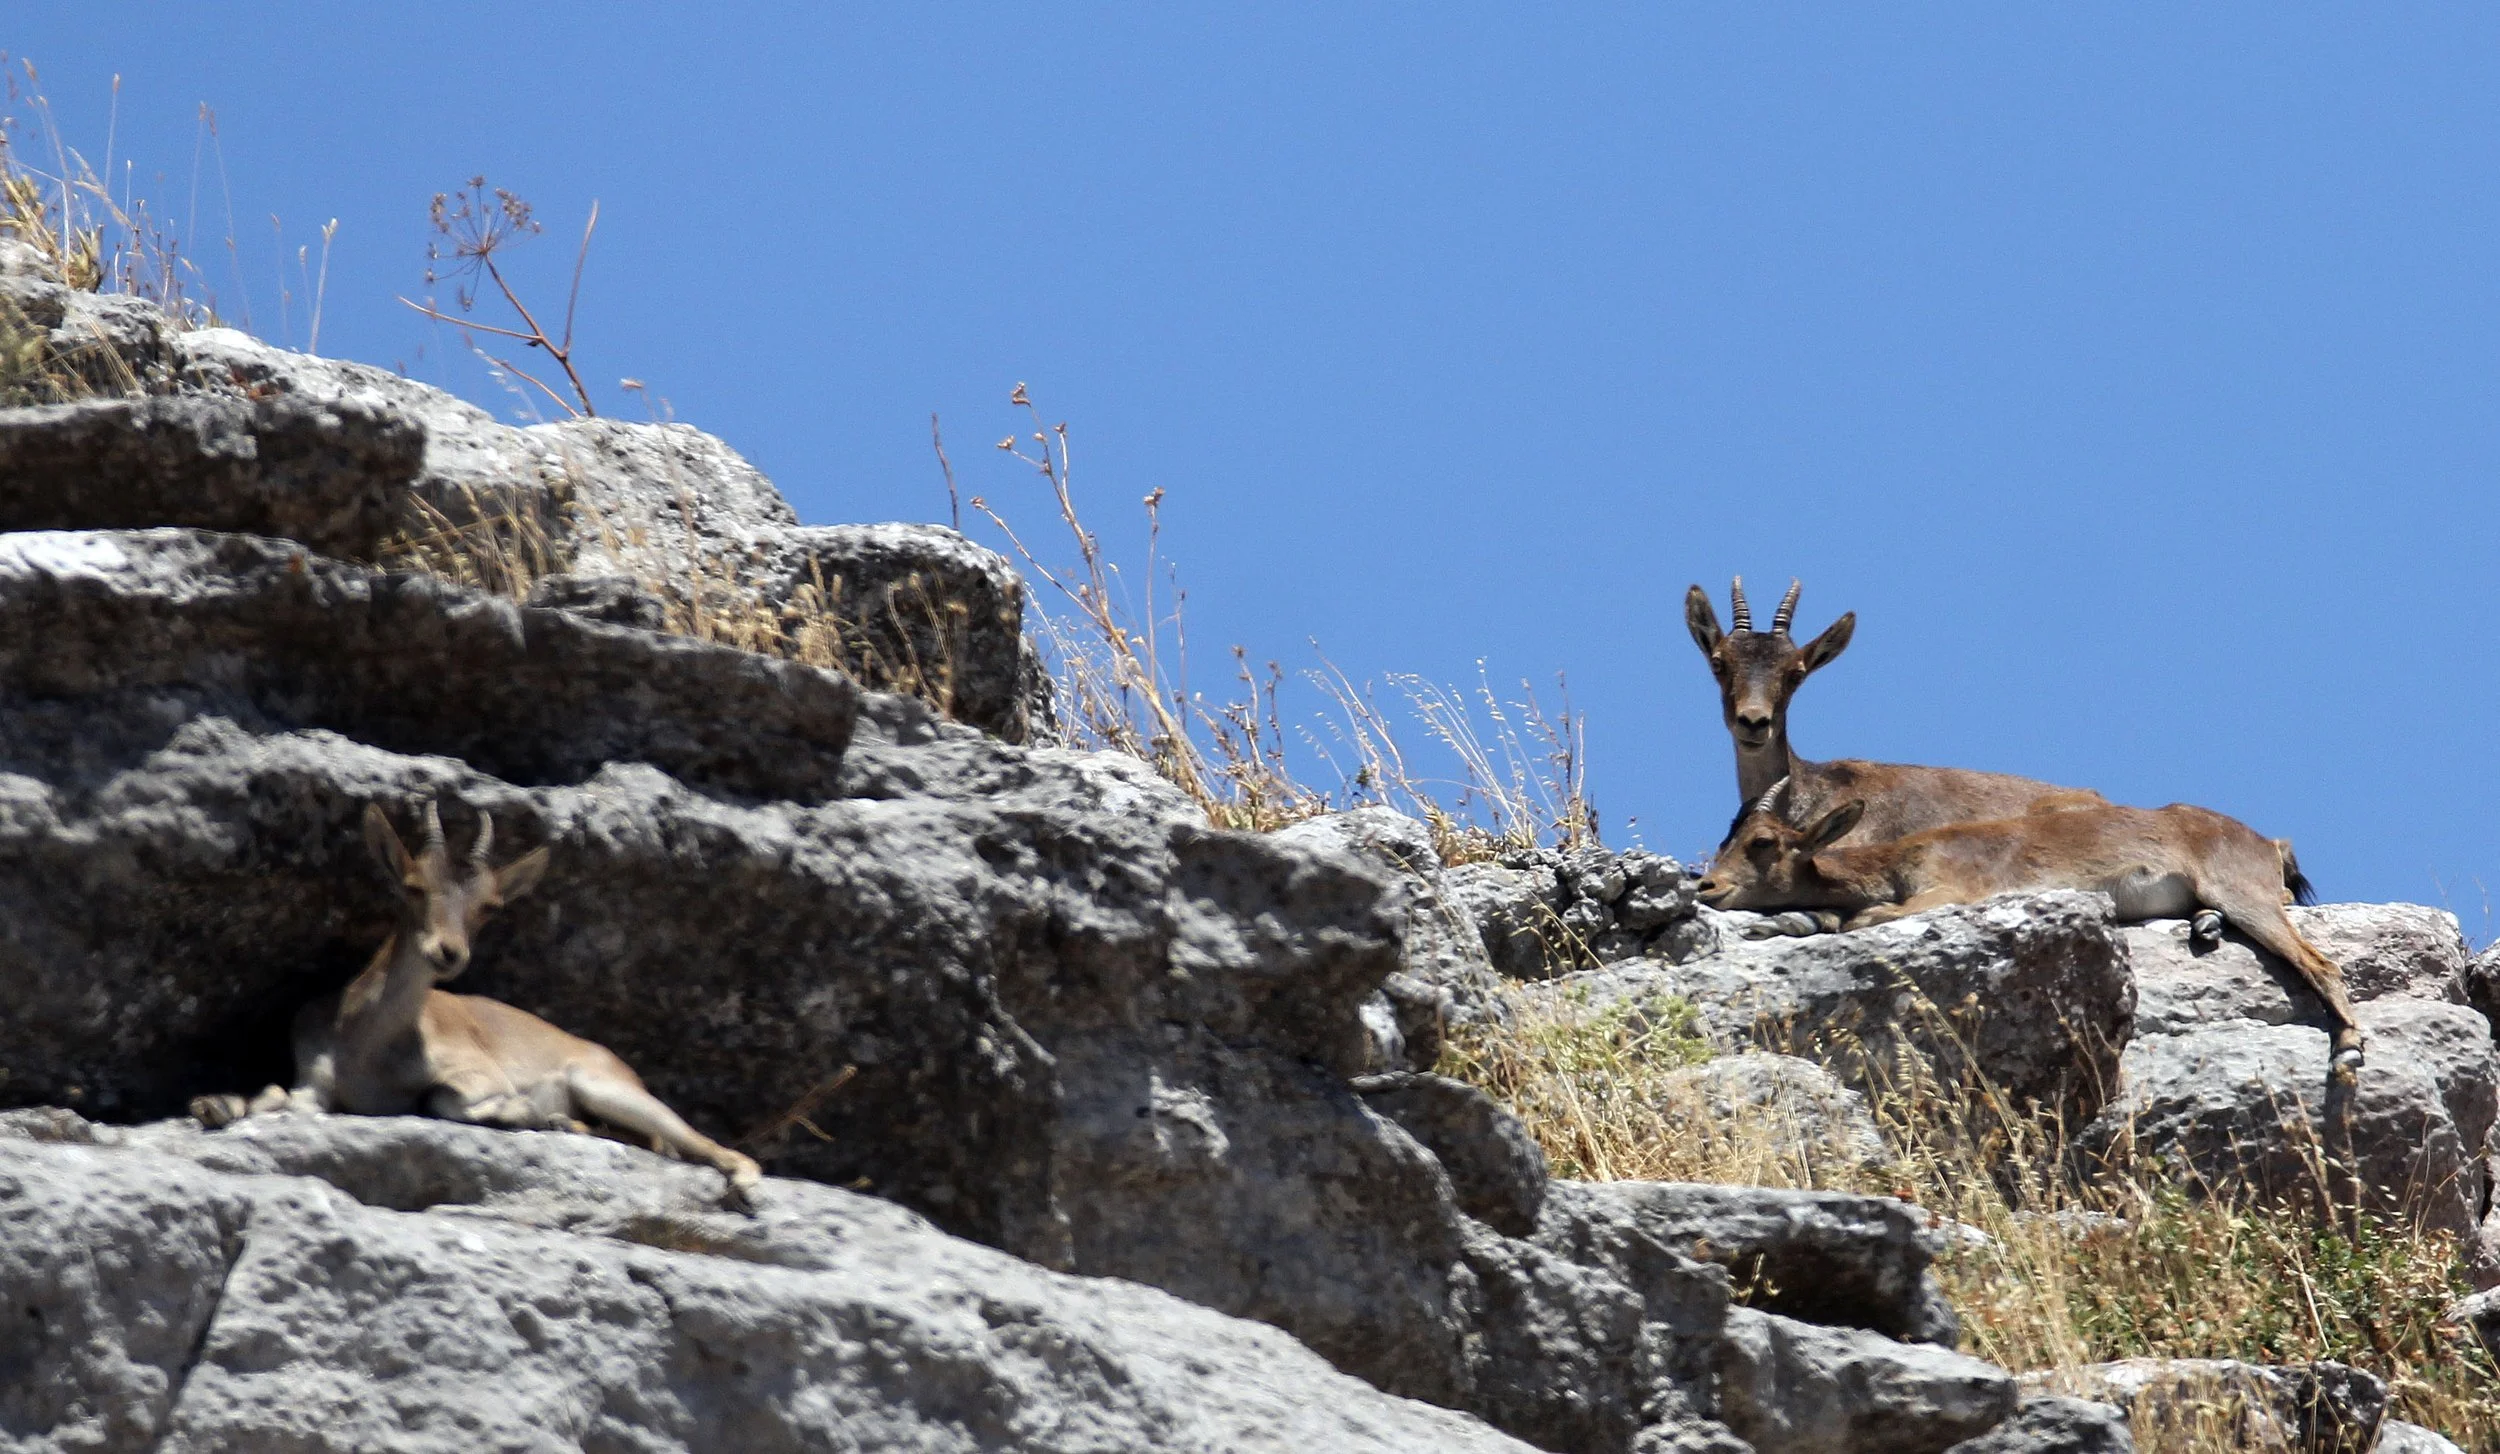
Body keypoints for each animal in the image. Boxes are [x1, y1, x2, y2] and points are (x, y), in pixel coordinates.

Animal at [190, 802, 763, 1206]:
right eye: (414, 886)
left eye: (489, 905)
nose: (448, 952)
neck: (364, 1044)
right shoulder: (316, 1084)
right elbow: (273, 1096)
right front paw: (215, 1104)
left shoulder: (478, 1073)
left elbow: (441, 1100)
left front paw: (520, 1109)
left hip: (604, 1086)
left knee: (702, 1144)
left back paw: (743, 1186)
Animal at [1695, 781, 2363, 1068]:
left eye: (1762, 843)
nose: (1706, 886)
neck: (1898, 860)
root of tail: (2268, 843)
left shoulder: (1952, 889)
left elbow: (1862, 917)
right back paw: (2204, 928)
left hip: (2244, 891)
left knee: (2319, 960)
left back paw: (2349, 1049)